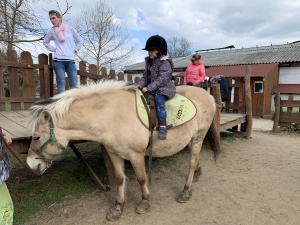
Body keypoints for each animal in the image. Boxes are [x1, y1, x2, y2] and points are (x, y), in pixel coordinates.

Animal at [25, 79, 220, 221]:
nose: (30, 164)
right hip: (190, 139)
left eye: (36, 137)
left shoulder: (136, 155)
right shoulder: (114, 154)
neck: (113, 116)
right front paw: (118, 208)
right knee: (196, 160)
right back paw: (197, 175)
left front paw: (144, 203)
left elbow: (141, 179)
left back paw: (186, 191)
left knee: (192, 161)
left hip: (199, 135)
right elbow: (119, 179)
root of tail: (208, 95)